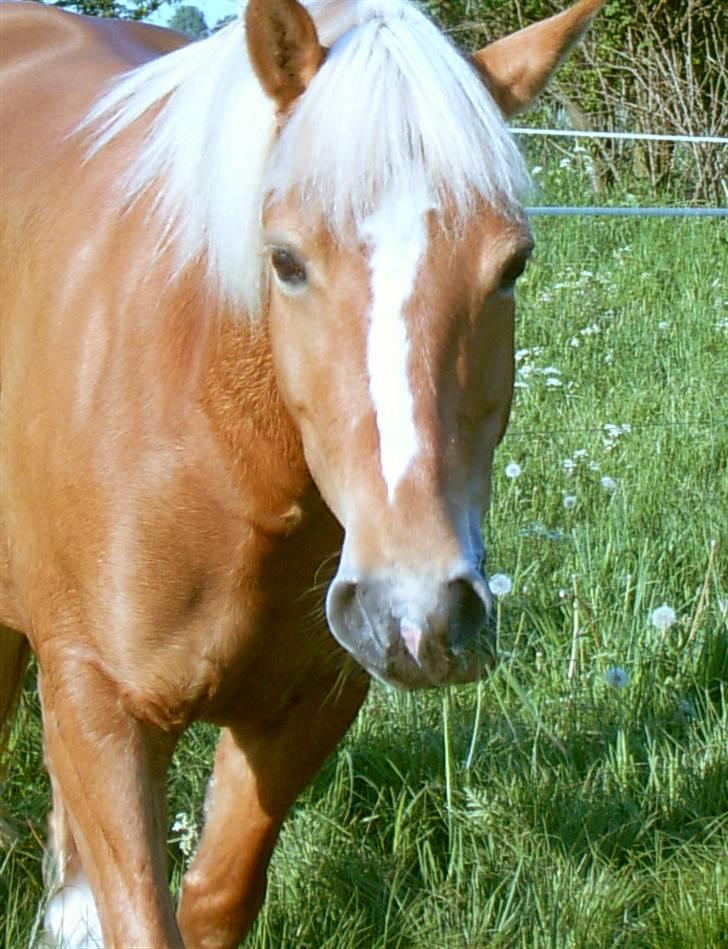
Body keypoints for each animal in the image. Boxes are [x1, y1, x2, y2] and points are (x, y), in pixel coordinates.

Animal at [0, 1, 604, 940]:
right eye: (284, 260)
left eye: (513, 266)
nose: (418, 611)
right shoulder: (100, 710)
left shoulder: (305, 708)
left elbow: (212, 901)